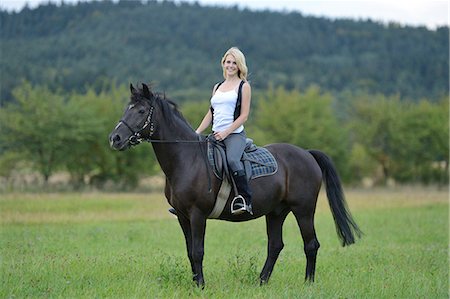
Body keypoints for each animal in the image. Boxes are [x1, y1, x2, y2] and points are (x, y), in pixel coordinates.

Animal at [110, 84, 362, 288]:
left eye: (141, 111)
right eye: (126, 109)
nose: (115, 139)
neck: (187, 159)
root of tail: (307, 154)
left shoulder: (197, 214)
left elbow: (198, 251)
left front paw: (201, 286)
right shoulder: (182, 216)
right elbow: (190, 252)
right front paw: (195, 283)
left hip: (304, 210)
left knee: (311, 244)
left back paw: (308, 283)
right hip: (276, 212)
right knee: (275, 245)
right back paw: (261, 282)